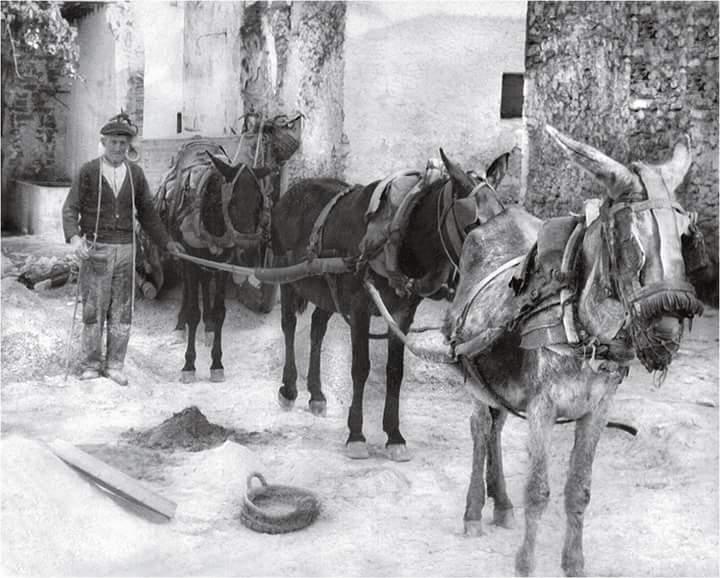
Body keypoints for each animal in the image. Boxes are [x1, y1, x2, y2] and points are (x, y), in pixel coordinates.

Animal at [270, 151, 510, 461]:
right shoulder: (359, 308)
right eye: (472, 225)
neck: (398, 234)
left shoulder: (402, 313)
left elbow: (395, 372)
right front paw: (356, 435)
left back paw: (317, 395)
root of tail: (292, 190)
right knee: (289, 325)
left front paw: (394, 436)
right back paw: (288, 390)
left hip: (328, 293)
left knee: (317, 329)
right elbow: (360, 367)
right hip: (286, 278)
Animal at [433, 126, 706, 576]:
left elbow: (579, 490)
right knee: (480, 428)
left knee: (496, 425)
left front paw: (573, 562)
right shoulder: (542, 407)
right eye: (626, 238)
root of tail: (495, 218)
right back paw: (474, 511)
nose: (665, 334)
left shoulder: (597, 410)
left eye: (685, 235)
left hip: (500, 382)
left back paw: (501, 504)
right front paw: (525, 564)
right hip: (472, 371)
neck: (584, 330)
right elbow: (538, 490)